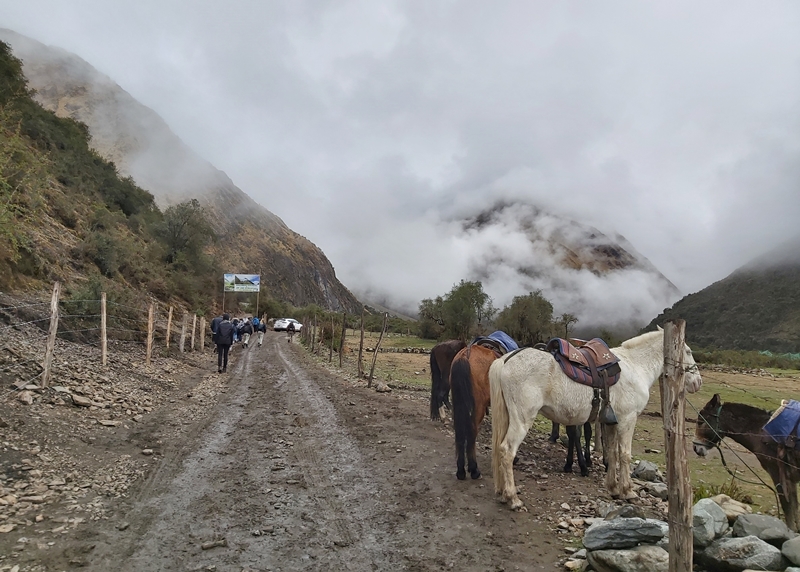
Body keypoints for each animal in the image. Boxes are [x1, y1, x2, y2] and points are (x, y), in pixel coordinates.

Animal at [488, 328, 700, 512]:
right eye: (688, 351)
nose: (698, 382)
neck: (636, 367)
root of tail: (506, 360)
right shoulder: (628, 420)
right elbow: (625, 455)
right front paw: (628, 491)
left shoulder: (611, 423)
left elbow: (612, 453)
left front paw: (613, 488)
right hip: (521, 420)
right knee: (507, 451)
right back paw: (513, 498)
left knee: (500, 449)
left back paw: (502, 493)